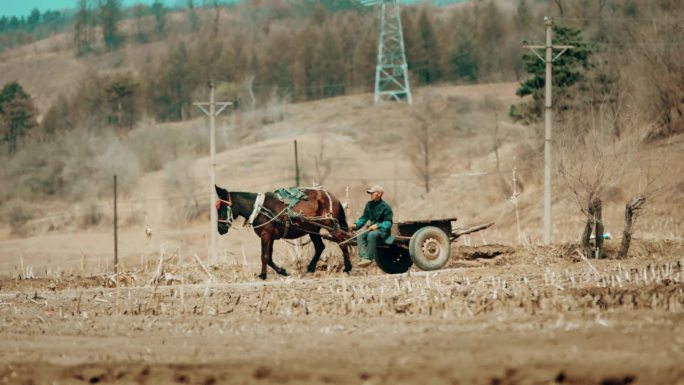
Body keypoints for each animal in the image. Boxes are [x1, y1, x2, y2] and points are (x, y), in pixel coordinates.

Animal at [214, 184, 352, 278]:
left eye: (223, 207)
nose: (220, 229)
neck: (260, 208)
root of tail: (333, 198)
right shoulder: (270, 236)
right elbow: (269, 257)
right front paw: (282, 271)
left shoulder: (265, 234)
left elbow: (264, 255)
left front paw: (263, 275)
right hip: (312, 229)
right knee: (320, 247)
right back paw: (310, 268)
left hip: (330, 225)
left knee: (342, 242)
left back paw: (348, 267)